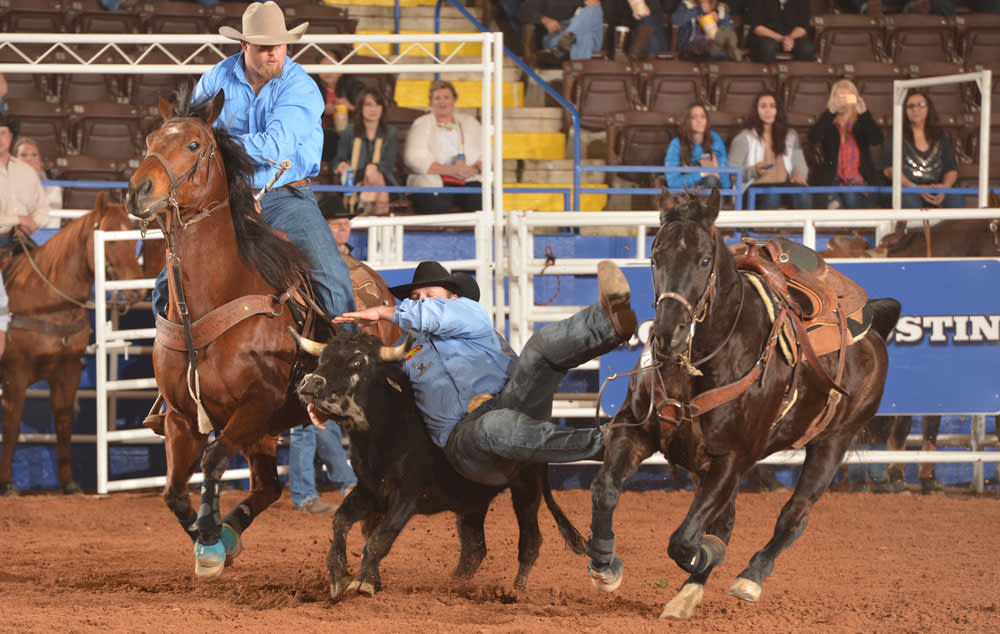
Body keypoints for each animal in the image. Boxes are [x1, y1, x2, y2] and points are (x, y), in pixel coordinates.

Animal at [0, 193, 145, 494]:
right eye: (110, 240)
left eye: (133, 238)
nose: (138, 290)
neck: (48, 301)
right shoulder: (15, 375)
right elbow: (11, 426)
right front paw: (7, 482)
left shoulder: (67, 372)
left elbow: (64, 423)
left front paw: (68, 482)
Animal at [121, 89, 394, 576]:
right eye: (151, 139)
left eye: (193, 144)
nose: (139, 190)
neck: (213, 297)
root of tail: (380, 287)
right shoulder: (181, 417)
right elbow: (173, 493)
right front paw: (209, 541)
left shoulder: (256, 403)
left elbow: (212, 461)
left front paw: (211, 537)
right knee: (268, 486)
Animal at [584, 189, 904, 616]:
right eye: (655, 256)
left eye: (704, 259)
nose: (667, 335)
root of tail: (872, 325)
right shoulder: (634, 430)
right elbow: (605, 488)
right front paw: (605, 563)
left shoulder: (731, 459)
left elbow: (684, 541)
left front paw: (708, 555)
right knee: (727, 520)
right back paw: (688, 593)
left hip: (833, 441)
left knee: (794, 515)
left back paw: (749, 577)